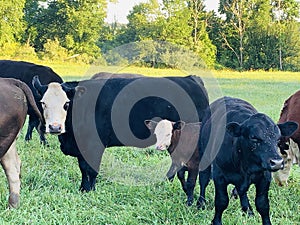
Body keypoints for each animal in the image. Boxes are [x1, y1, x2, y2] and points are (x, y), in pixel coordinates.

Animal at [31, 74, 209, 192]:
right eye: (43, 103)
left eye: (66, 104)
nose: (55, 127)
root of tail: (191, 78)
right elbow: (83, 168)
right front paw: (83, 188)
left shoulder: (95, 145)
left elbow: (91, 169)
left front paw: (90, 189)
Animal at [197, 96, 298, 225]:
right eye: (253, 138)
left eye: (278, 138)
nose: (277, 163)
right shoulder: (219, 176)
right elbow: (221, 201)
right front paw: (216, 221)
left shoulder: (264, 177)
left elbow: (262, 204)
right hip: (203, 154)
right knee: (203, 178)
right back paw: (201, 203)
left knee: (242, 191)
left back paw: (248, 211)